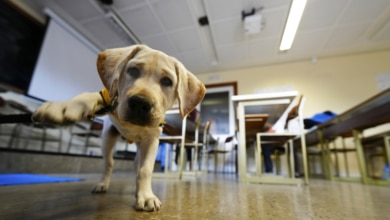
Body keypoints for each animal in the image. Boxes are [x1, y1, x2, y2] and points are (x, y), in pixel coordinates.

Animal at [32, 44, 207, 211]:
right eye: (133, 70)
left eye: (167, 81)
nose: (140, 103)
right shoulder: (109, 96)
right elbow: (90, 96)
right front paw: (63, 107)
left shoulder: (152, 140)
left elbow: (145, 170)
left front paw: (146, 196)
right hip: (107, 139)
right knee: (109, 163)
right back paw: (103, 184)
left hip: (140, 147)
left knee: (137, 165)